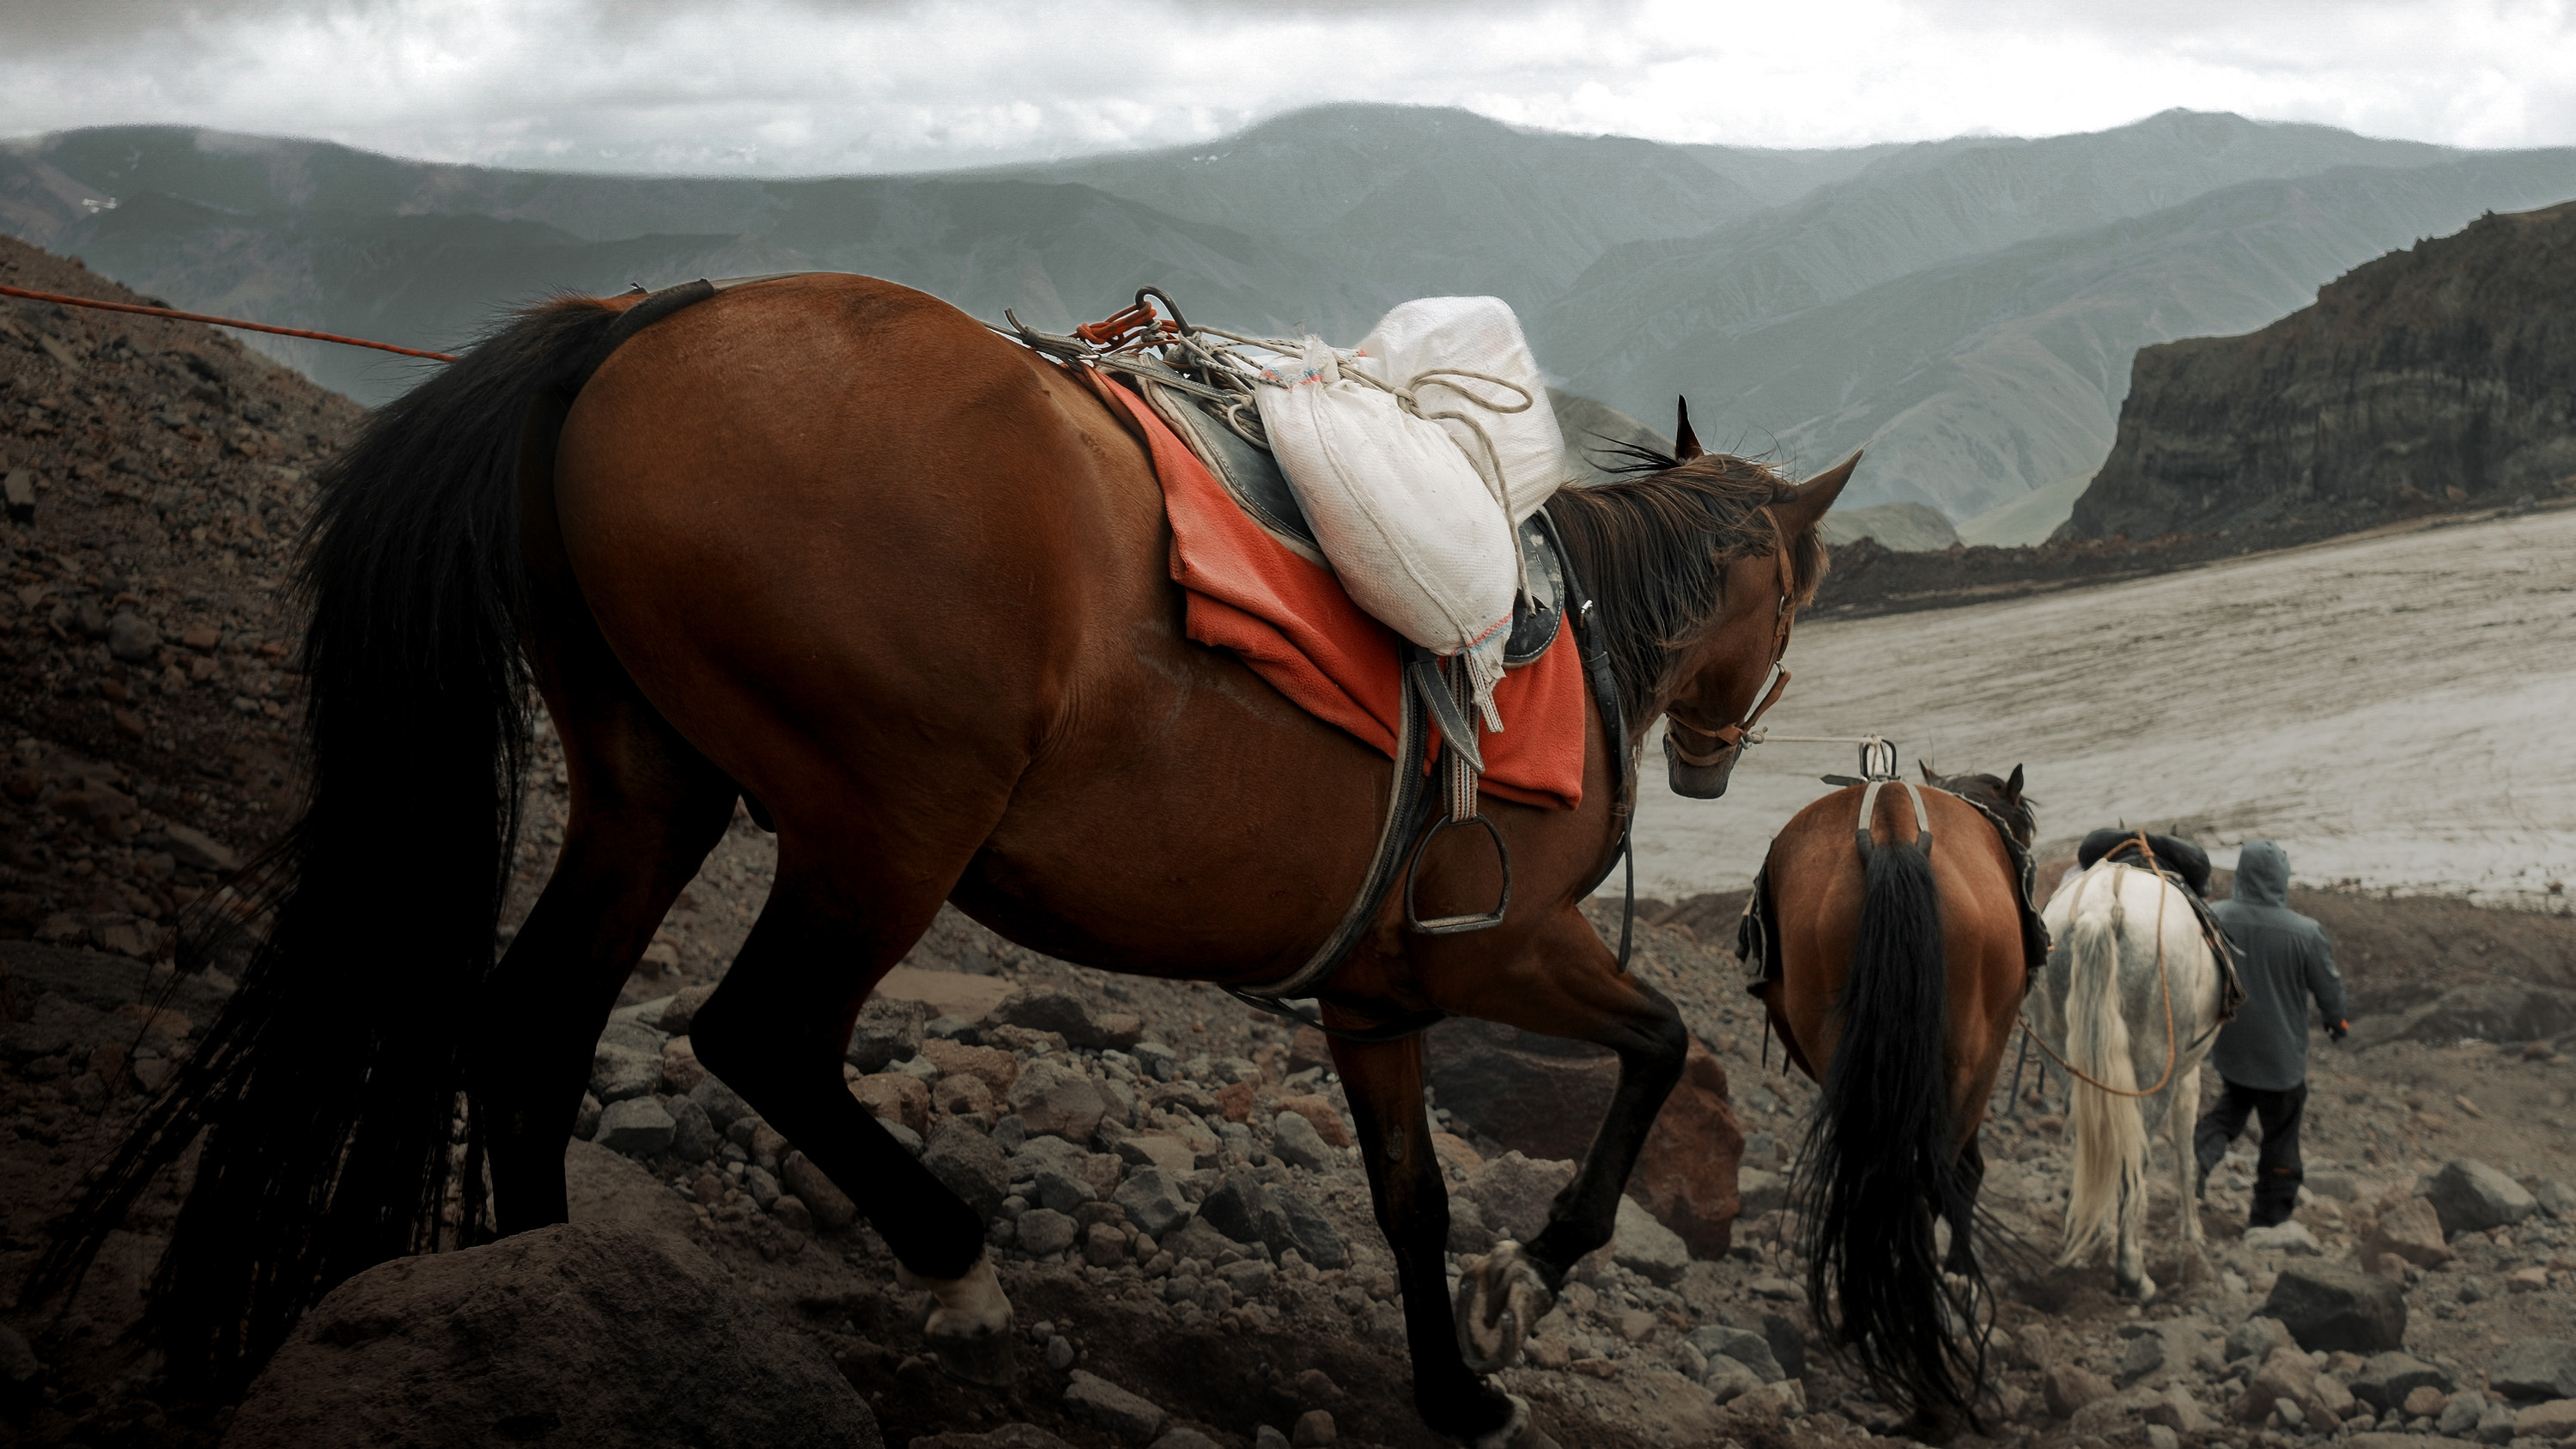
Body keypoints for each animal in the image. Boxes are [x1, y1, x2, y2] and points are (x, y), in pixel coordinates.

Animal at [45, 274, 1856, 1449]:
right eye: (1807, 586)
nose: (1717, 751)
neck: (1574, 628)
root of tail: (634, 328)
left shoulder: (1374, 995)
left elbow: (1408, 1195)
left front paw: (1455, 1380)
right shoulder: (1499, 946)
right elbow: (1661, 1047)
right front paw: (1527, 1282)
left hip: (651, 790)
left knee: (536, 1021)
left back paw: (550, 1281)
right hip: (886, 821)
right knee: (760, 1034)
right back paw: (959, 1267)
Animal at [2029, 849, 2226, 1302]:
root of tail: (2102, 908)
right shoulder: (2187, 1078)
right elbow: (2186, 1157)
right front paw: (2193, 1236)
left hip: (2069, 1065)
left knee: (2095, 1140)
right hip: (2155, 1073)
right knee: (2132, 1161)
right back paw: (2133, 1272)